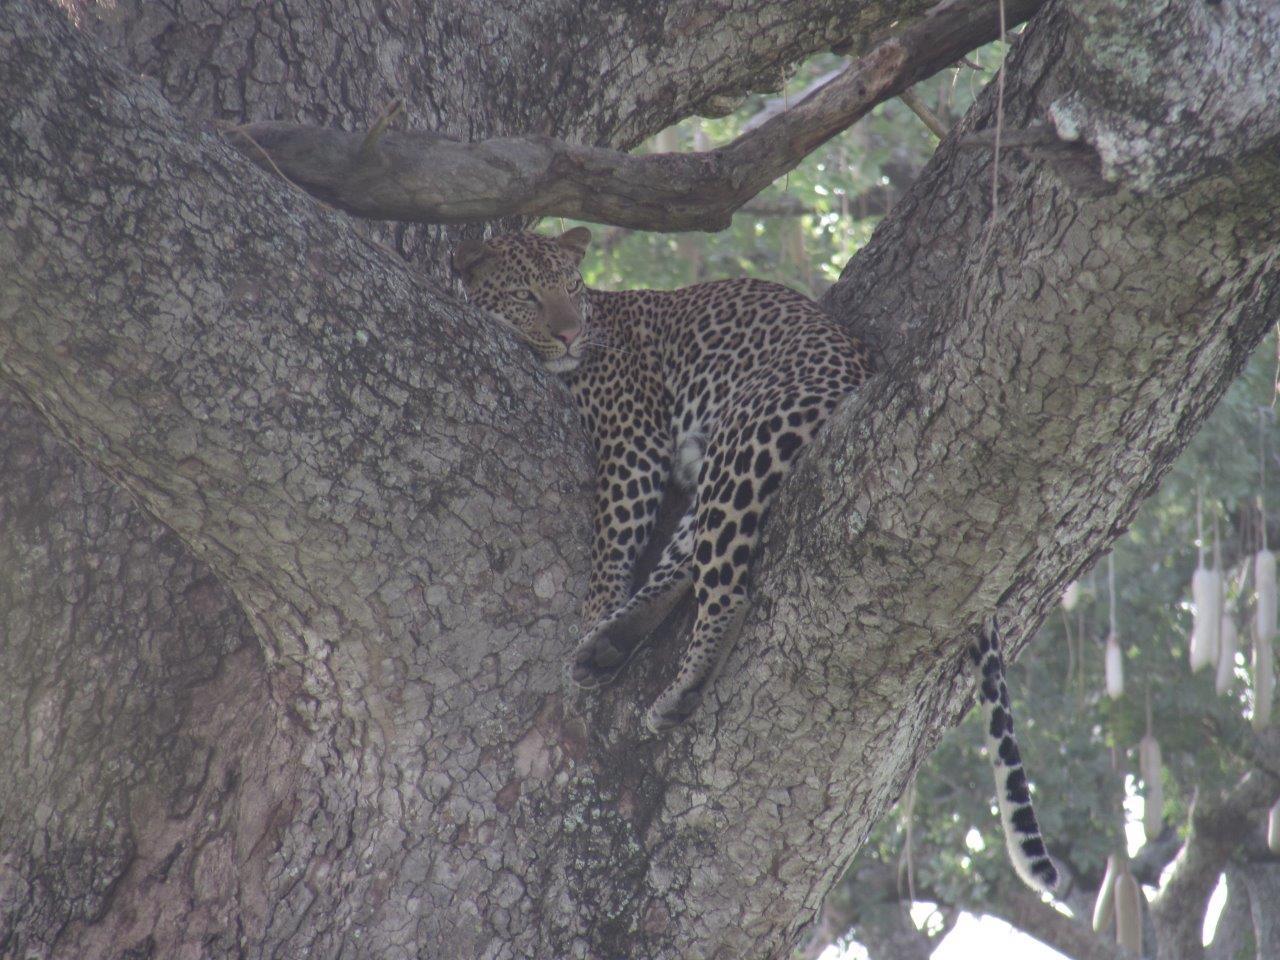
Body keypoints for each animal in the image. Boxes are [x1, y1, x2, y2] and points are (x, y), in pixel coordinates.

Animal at [453, 227, 1059, 896]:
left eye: (571, 288)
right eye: (528, 296)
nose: (567, 334)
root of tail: (865, 365)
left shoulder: (632, 441)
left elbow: (613, 535)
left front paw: (595, 605)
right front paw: (600, 621)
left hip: (747, 435)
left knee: (727, 588)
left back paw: (675, 684)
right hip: (717, 460)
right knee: (686, 561)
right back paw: (609, 645)